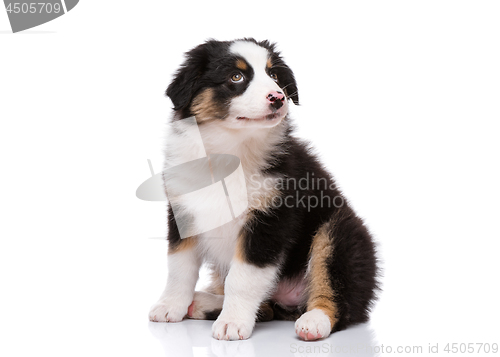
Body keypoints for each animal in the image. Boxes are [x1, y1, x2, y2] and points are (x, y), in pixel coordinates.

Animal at [148, 38, 378, 340]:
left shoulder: (270, 219)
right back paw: (202, 303)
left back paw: (314, 321)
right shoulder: (183, 211)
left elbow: (242, 277)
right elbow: (179, 267)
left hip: (339, 234)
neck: (231, 151)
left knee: (338, 296)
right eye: (236, 77)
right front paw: (170, 306)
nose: (278, 97)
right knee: (266, 307)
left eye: (275, 76)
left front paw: (232, 323)